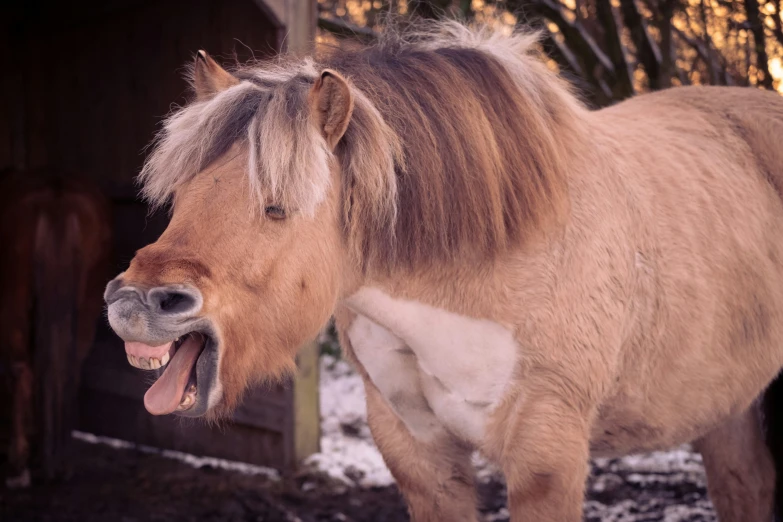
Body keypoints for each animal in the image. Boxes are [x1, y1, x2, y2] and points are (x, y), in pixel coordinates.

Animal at [0, 169, 112, 486]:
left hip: (13, 308)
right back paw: (60, 460)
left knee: (21, 372)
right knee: (68, 369)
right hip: (87, 307)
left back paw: (20, 463)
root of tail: (56, 200)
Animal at [101, 22, 783, 516]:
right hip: (727, 412)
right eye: (180, 197)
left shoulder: (547, 455)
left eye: (277, 207)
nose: (136, 303)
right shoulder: (418, 453)